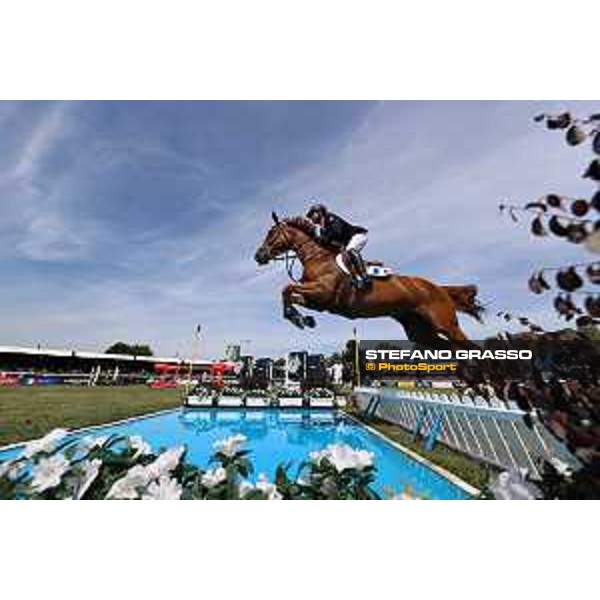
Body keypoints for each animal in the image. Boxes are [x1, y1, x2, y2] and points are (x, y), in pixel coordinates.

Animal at [253, 214, 482, 346]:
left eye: (271, 232)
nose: (258, 256)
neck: (317, 258)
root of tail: (439, 288)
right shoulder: (318, 302)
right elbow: (288, 294)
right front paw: (301, 319)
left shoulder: (322, 292)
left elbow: (286, 288)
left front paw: (298, 319)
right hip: (419, 331)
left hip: (447, 325)